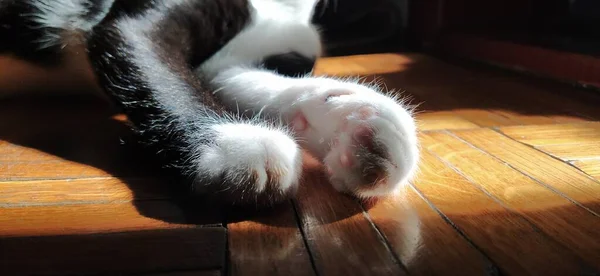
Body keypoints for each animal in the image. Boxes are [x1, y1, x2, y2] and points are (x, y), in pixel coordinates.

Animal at [0, 0, 420, 207]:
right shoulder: (133, 27)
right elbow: (170, 78)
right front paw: (233, 141)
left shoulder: (227, 64)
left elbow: (265, 85)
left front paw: (350, 122)